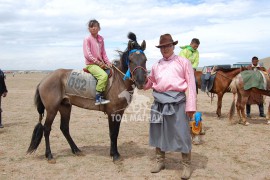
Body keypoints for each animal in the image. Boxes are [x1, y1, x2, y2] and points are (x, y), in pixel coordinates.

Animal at [26, 32, 148, 163]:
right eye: (130, 60)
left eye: (145, 60)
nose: (141, 81)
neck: (119, 80)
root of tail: (44, 80)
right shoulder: (112, 112)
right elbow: (112, 133)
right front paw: (114, 155)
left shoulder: (119, 112)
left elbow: (116, 132)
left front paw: (114, 153)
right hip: (52, 109)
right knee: (47, 129)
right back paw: (49, 155)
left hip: (65, 106)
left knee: (64, 128)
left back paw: (76, 150)